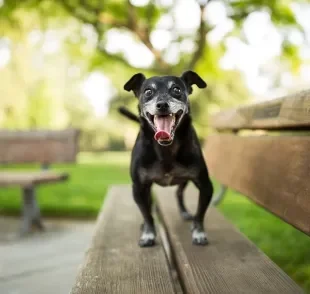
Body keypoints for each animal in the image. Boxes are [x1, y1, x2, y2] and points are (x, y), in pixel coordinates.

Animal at [121, 70, 213, 246]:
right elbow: (147, 214)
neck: (166, 149)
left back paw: (185, 213)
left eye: (176, 89)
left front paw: (198, 232)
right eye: (148, 91)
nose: (162, 104)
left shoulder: (205, 186)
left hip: (184, 180)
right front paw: (148, 234)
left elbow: (200, 213)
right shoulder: (139, 187)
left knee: (179, 193)